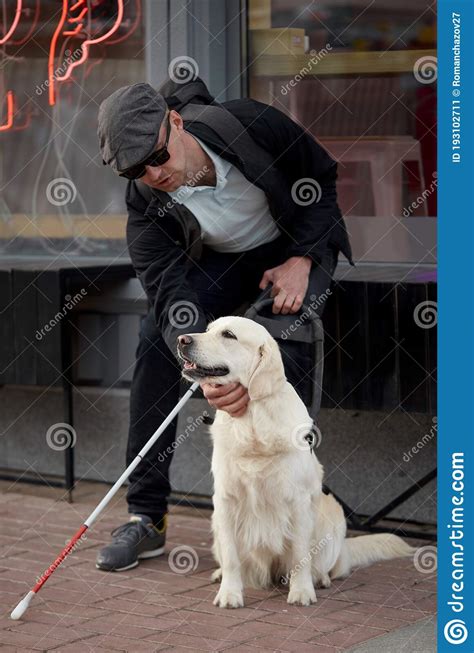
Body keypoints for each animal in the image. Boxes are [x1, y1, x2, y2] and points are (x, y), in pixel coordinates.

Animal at [176, 314, 412, 608]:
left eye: (228, 335)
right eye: (208, 329)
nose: (181, 339)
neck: (252, 419)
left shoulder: (297, 502)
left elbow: (300, 554)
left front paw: (301, 592)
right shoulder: (225, 500)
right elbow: (231, 556)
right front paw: (230, 593)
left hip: (333, 516)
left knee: (326, 565)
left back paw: (319, 579)